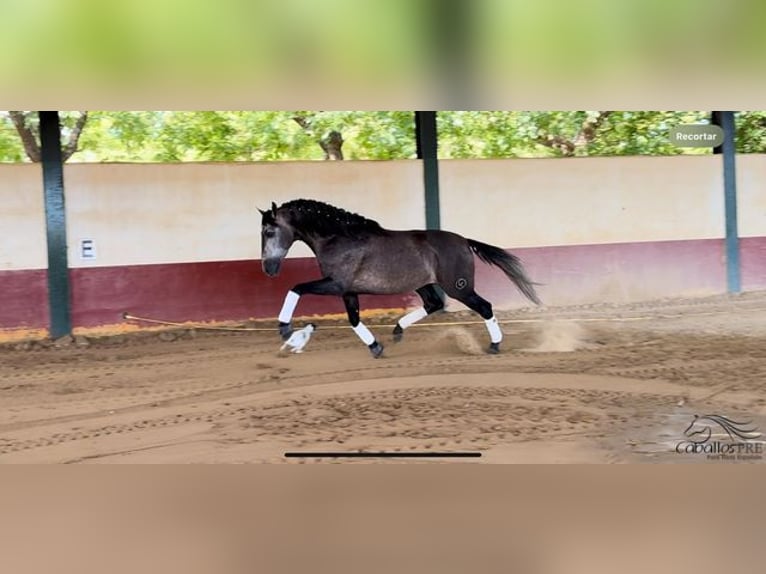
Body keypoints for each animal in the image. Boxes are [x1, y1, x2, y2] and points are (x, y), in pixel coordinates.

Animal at [260, 200, 544, 358]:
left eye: (269, 231)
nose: (268, 268)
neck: (338, 238)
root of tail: (464, 241)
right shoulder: (348, 290)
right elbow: (354, 320)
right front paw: (376, 347)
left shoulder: (336, 284)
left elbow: (297, 288)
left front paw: (285, 329)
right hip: (424, 285)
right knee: (433, 304)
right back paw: (397, 330)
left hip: (458, 288)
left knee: (484, 307)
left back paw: (495, 345)